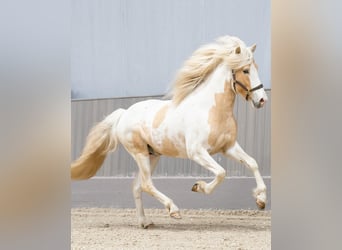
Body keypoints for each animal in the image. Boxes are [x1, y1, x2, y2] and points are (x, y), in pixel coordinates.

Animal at [71, 35, 268, 229]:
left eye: (256, 68)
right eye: (245, 70)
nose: (262, 100)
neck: (212, 109)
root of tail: (124, 113)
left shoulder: (228, 148)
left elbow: (252, 163)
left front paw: (261, 200)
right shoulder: (197, 152)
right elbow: (221, 172)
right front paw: (198, 187)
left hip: (153, 155)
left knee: (137, 186)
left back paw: (145, 222)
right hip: (140, 153)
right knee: (146, 184)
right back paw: (173, 210)